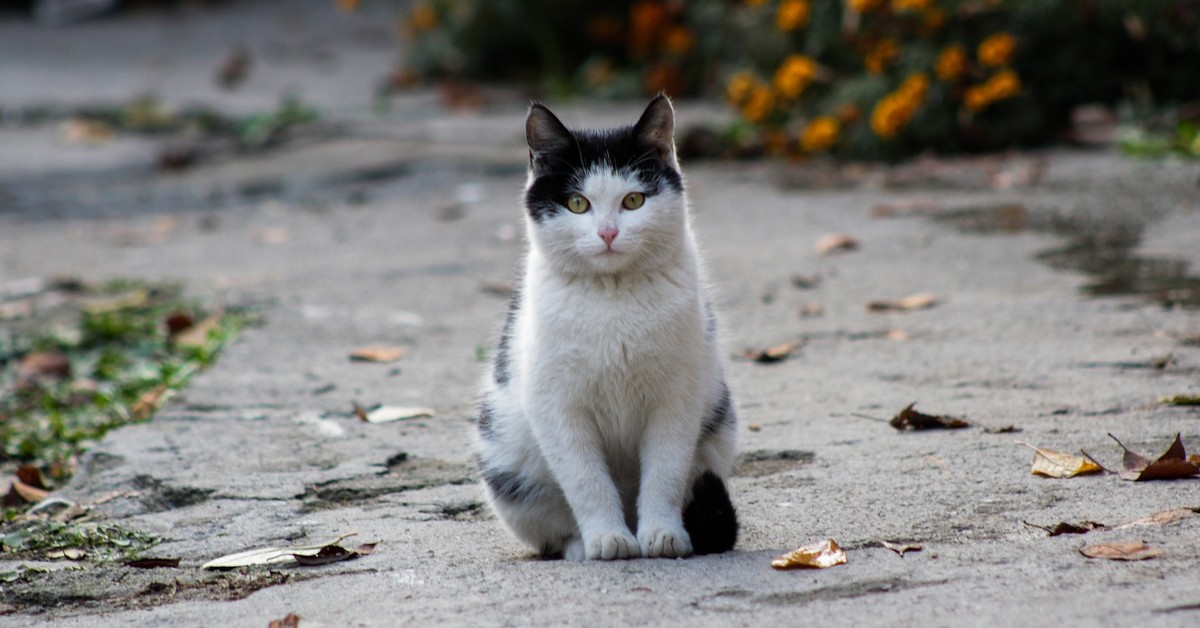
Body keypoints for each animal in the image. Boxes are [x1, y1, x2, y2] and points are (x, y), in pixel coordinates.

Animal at [472, 94, 734, 559]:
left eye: (633, 201)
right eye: (578, 204)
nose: (608, 233)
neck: (612, 297)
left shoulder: (677, 400)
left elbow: (665, 472)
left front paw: (662, 533)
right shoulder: (558, 408)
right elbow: (586, 481)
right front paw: (607, 537)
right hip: (507, 466)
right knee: (552, 528)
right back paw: (582, 544)